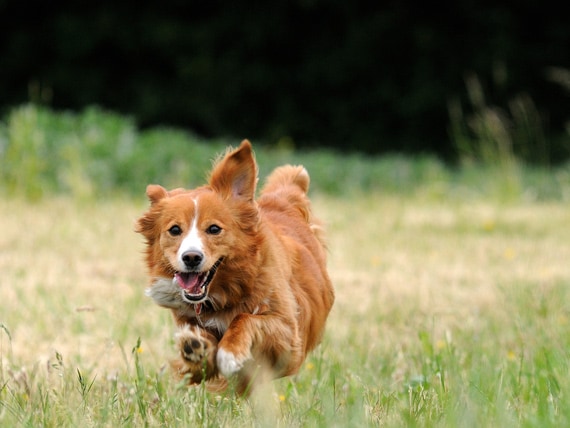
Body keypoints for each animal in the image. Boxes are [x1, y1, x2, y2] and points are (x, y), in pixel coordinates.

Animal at [135, 141, 332, 394]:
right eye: (175, 230)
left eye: (214, 229)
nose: (191, 257)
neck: (225, 293)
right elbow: (200, 360)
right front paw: (196, 348)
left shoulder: (289, 339)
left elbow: (245, 318)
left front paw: (230, 352)